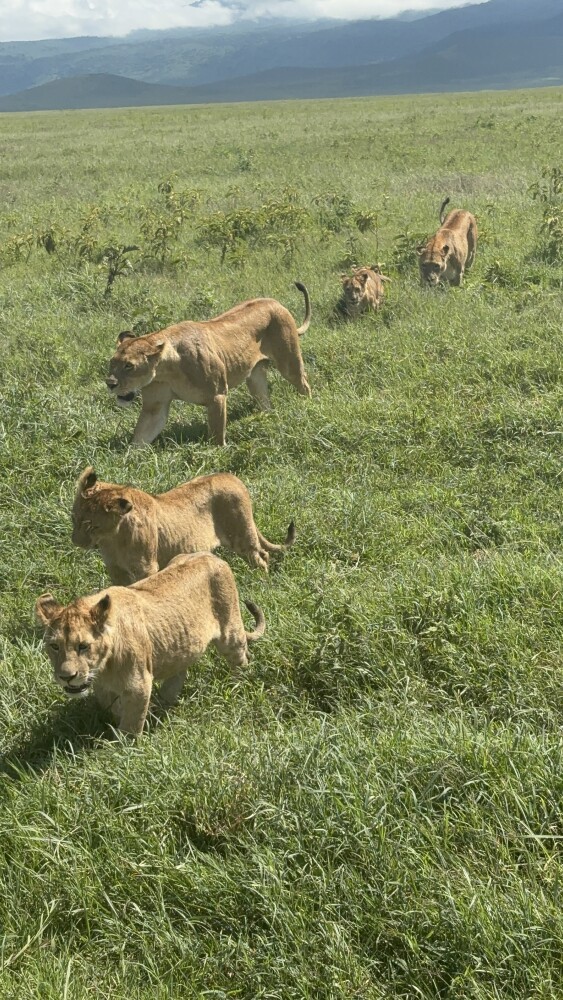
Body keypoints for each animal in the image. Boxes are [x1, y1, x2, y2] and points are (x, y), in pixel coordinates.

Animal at [35, 552, 265, 735]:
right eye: (54, 646)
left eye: (83, 646)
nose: (66, 677)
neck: (103, 667)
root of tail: (211, 555)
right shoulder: (104, 688)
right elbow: (114, 707)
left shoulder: (139, 684)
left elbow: (131, 724)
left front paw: (122, 752)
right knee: (179, 670)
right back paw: (164, 703)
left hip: (230, 632)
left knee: (241, 658)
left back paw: (237, 685)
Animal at [71, 465, 295, 583]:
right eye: (74, 519)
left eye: (92, 526)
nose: (75, 542)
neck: (112, 539)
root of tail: (231, 476)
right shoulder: (115, 569)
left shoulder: (146, 568)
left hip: (241, 535)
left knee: (260, 555)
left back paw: (262, 583)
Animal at [105, 283, 311, 446]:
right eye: (112, 363)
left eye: (129, 366)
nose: (110, 383)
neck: (166, 370)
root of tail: (275, 302)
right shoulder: (154, 406)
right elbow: (140, 438)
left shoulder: (217, 396)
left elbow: (217, 435)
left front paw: (218, 455)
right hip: (255, 376)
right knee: (265, 401)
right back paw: (267, 418)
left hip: (289, 362)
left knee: (303, 383)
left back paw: (307, 407)